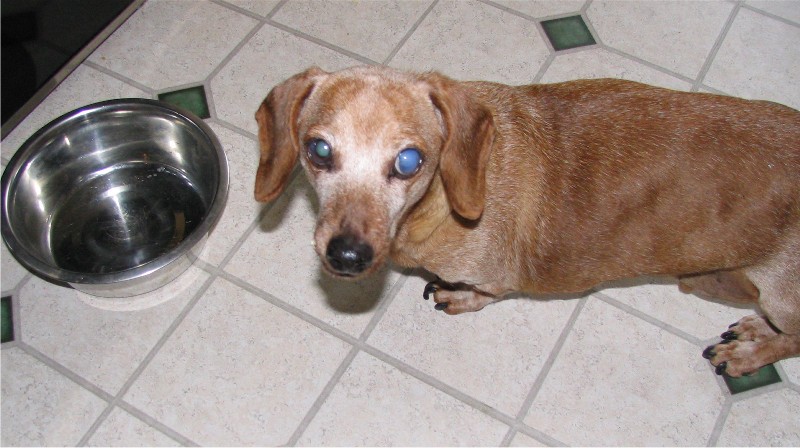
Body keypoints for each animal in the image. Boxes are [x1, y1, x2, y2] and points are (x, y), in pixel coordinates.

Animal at [253, 65, 796, 376]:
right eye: (318, 150)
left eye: (409, 160)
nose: (346, 256)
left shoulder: (494, 274)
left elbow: (487, 291)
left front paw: (460, 295)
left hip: (782, 297)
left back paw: (752, 351)